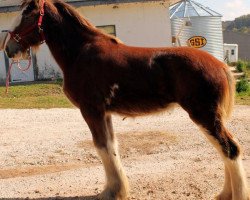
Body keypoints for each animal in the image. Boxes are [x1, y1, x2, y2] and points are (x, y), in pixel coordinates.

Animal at [3, 0, 248, 200]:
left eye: (28, 15)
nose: (8, 49)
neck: (80, 52)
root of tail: (221, 65)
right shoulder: (105, 113)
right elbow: (111, 147)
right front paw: (116, 189)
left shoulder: (91, 110)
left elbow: (102, 147)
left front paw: (111, 192)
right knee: (225, 149)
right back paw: (224, 194)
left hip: (204, 114)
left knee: (230, 149)